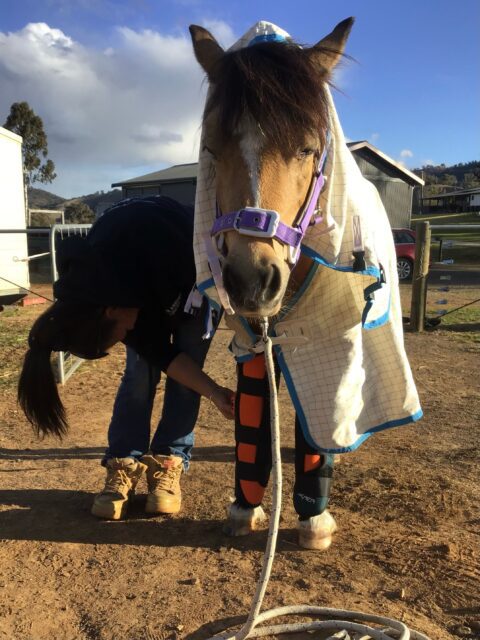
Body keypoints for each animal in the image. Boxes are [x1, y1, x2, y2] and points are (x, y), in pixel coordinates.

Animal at [189, 19, 422, 550]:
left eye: (309, 149)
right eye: (211, 148)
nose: (252, 279)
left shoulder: (329, 341)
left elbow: (318, 425)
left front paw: (313, 519)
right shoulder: (253, 340)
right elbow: (254, 418)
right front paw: (244, 507)